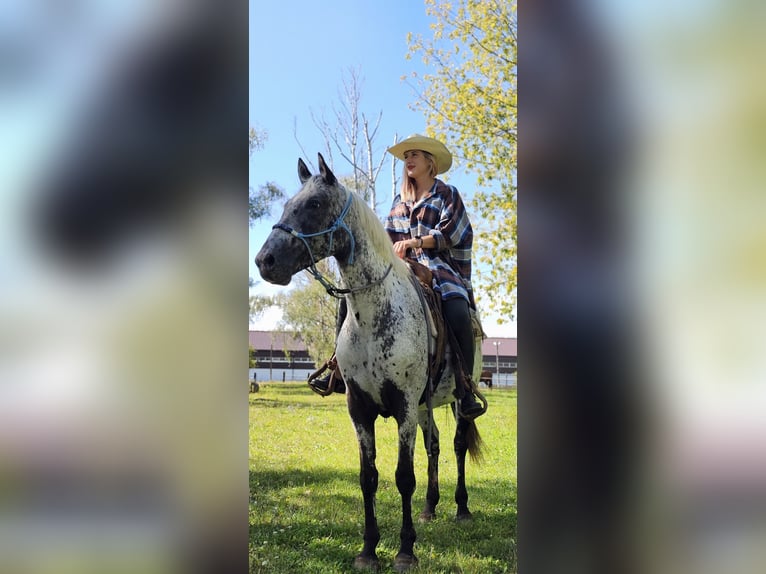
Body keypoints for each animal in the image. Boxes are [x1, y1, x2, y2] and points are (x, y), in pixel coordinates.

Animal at [255, 154, 483, 572]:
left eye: (314, 204)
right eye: (288, 204)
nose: (266, 261)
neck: (374, 315)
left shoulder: (404, 407)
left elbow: (403, 476)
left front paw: (406, 549)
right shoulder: (359, 408)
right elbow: (369, 477)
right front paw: (368, 549)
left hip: (458, 401)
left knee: (458, 445)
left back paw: (460, 508)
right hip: (426, 406)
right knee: (435, 445)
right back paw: (430, 508)